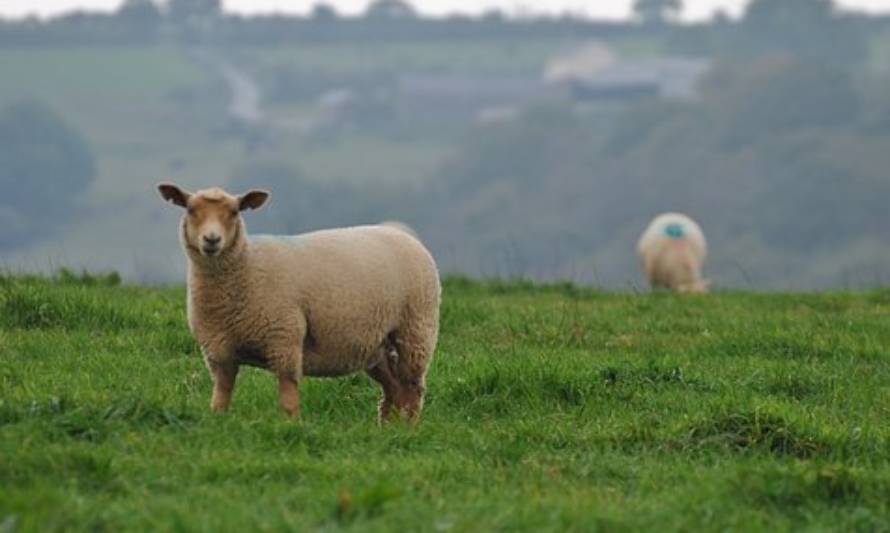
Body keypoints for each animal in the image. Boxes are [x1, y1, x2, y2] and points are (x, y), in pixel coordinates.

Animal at [159, 183, 440, 420]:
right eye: (191, 209)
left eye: (234, 211)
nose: (212, 240)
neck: (246, 267)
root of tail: (402, 233)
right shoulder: (218, 352)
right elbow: (221, 396)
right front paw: (218, 421)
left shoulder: (284, 339)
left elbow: (288, 397)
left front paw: (292, 425)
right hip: (376, 344)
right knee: (393, 389)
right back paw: (388, 428)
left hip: (415, 329)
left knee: (412, 388)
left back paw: (409, 428)